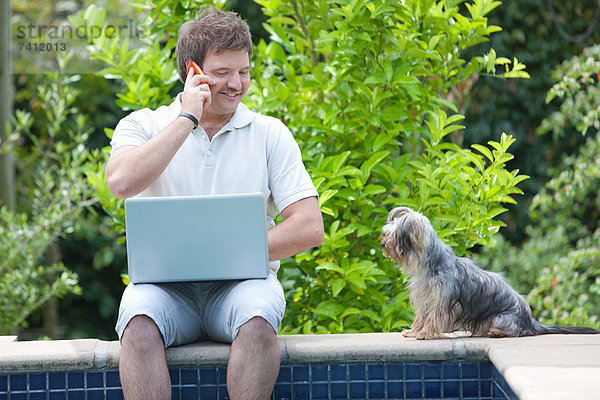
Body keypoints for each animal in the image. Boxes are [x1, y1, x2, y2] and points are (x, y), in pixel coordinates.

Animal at [382, 208, 596, 340]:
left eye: (393, 237)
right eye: (386, 234)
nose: (383, 244)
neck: (430, 265)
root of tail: (531, 322)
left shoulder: (441, 301)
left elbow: (434, 318)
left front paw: (424, 334)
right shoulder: (424, 299)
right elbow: (420, 317)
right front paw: (413, 331)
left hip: (500, 318)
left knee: (512, 331)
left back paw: (496, 332)